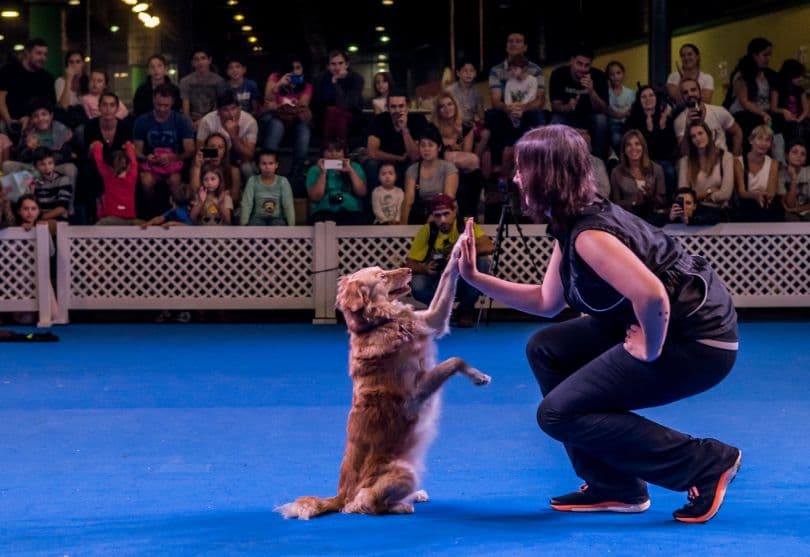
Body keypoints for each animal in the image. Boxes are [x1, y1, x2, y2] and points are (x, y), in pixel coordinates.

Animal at [274, 241, 490, 520]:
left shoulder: (432, 319)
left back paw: (415, 495)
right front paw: (479, 376)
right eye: (382, 276)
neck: (379, 323)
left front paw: (460, 248)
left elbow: (446, 277)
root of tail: (341, 494)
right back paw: (402, 504)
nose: (409, 269)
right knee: (363, 504)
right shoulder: (415, 394)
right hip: (405, 472)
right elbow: (454, 360)